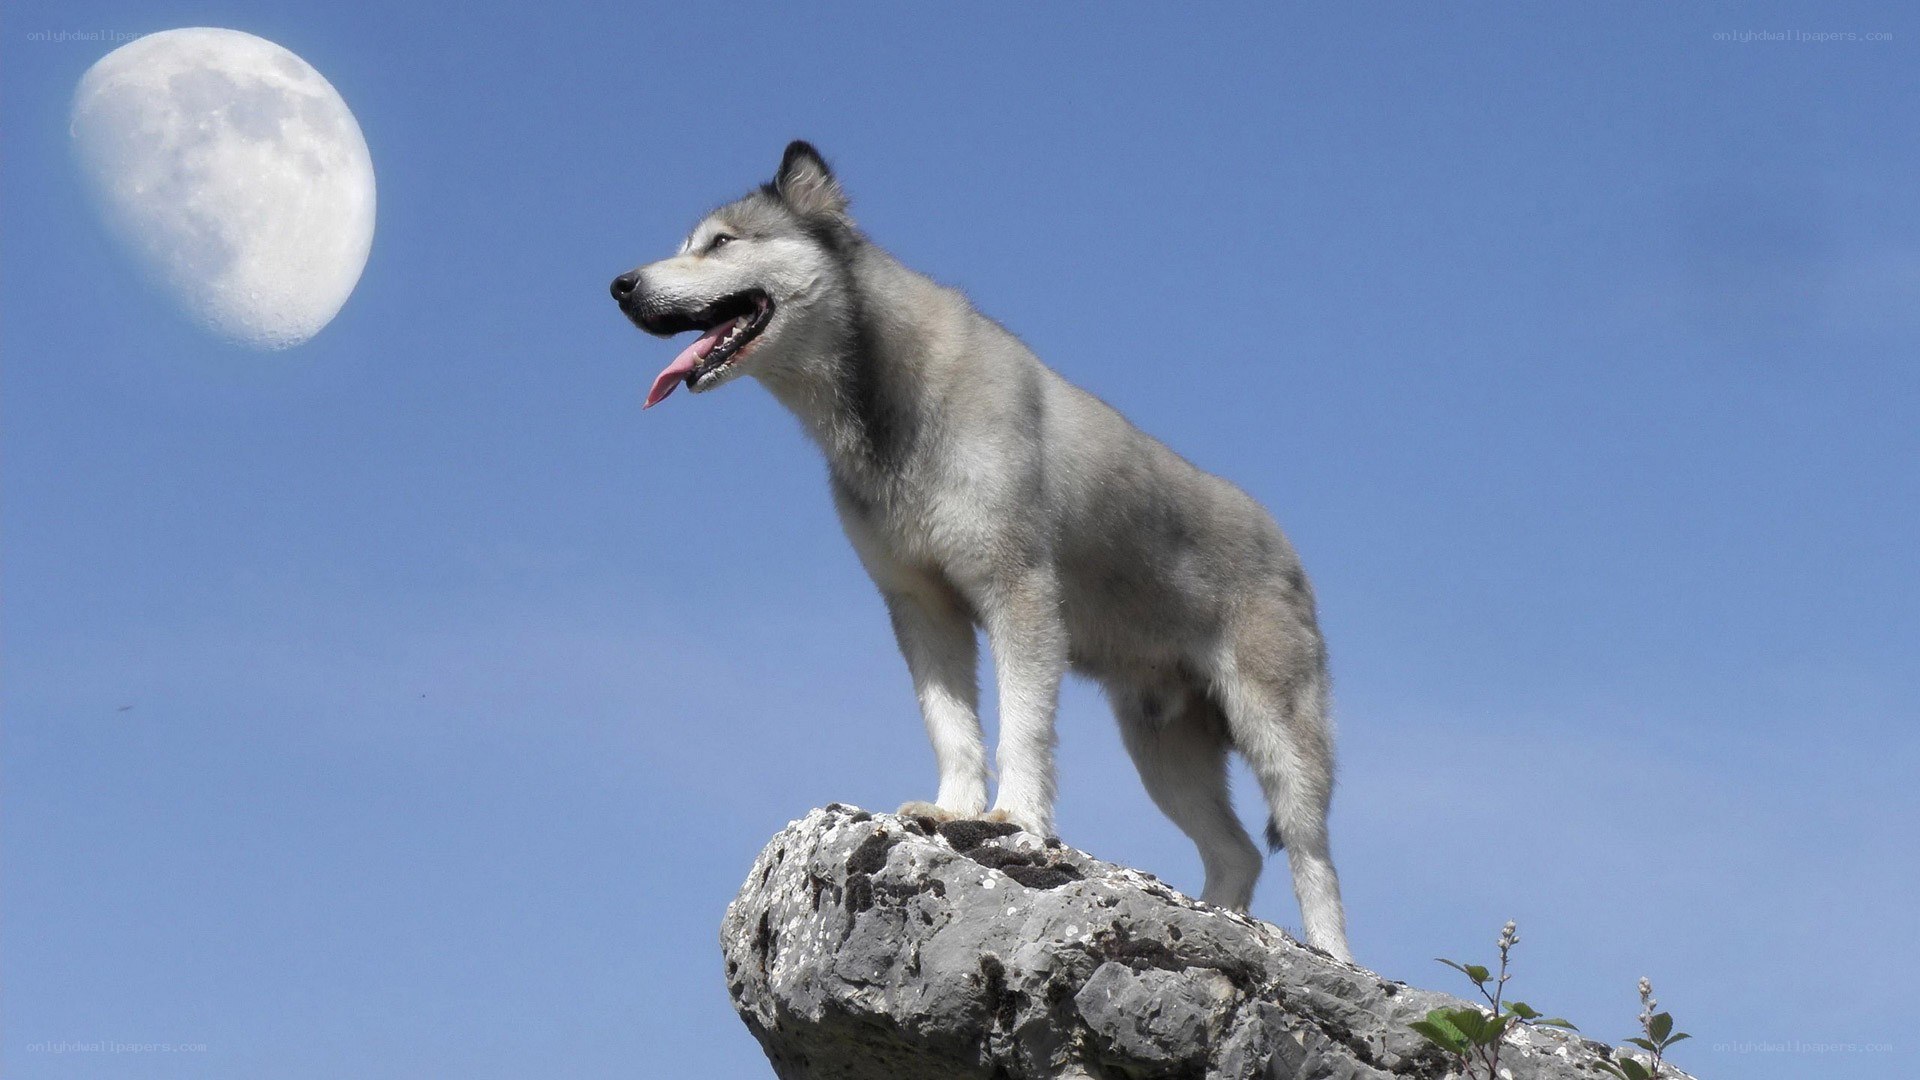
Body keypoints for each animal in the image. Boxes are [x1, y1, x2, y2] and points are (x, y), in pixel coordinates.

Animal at [611, 142, 1351, 961]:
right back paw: (1220, 921)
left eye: (720, 243)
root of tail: (1286, 548)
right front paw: (950, 808)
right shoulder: (920, 604)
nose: (621, 285)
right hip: (1162, 747)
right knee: (1238, 852)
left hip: (1280, 733)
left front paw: (1013, 817)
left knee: (1313, 858)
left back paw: (1331, 954)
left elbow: (1021, 724)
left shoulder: (1017, 590)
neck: (886, 404)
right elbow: (952, 723)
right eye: (690, 243)